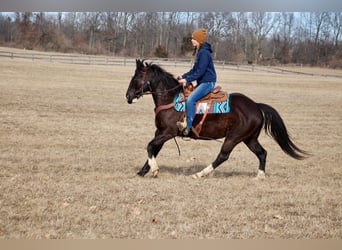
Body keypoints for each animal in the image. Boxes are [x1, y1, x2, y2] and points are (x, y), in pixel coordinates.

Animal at [125, 59, 308, 179]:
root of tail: (256, 105)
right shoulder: (161, 132)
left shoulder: (168, 132)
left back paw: (201, 173)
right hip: (249, 138)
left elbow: (150, 146)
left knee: (223, 156)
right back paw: (260, 176)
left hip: (234, 137)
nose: (127, 96)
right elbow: (154, 149)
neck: (170, 98)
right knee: (262, 153)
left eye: (136, 78)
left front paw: (154, 170)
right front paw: (143, 171)